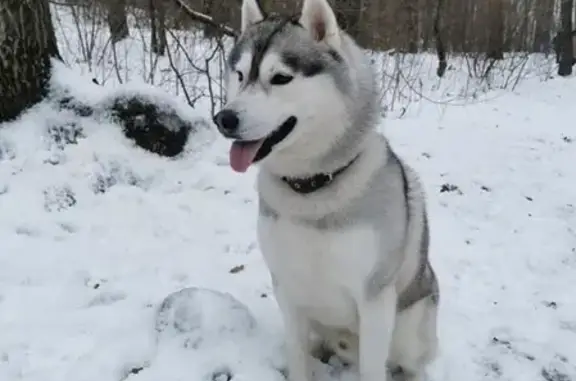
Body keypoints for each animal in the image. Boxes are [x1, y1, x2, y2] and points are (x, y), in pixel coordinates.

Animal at [214, 0, 438, 378]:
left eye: (281, 77)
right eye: (240, 75)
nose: (224, 119)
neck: (312, 189)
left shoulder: (375, 300)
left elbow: (374, 368)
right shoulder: (286, 288)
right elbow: (297, 356)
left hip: (410, 325)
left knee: (413, 362)